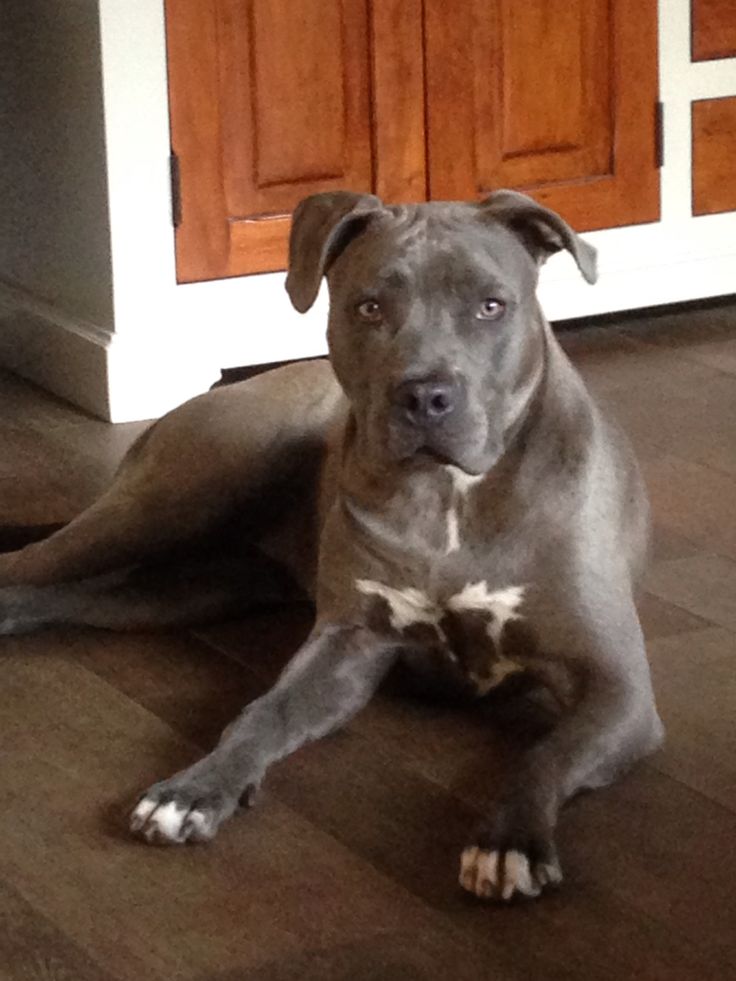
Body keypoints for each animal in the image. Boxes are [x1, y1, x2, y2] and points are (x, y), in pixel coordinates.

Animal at [0, 191, 664, 904]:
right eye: (369, 307)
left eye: (492, 306)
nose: (425, 394)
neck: (448, 499)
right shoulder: (349, 644)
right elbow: (265, 712)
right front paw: (195, 789)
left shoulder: (618, 688)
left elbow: (546, 753)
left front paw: (510, 839)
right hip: (169, 500)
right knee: (25, 567)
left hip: (185, 588)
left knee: (68, 594)